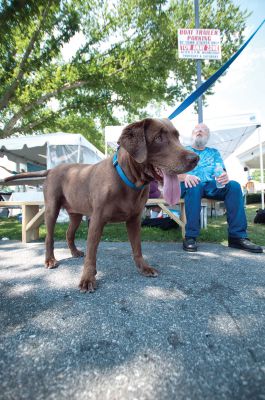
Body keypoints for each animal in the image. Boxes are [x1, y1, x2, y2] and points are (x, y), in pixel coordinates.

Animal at [5, 118, 197, 290]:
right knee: (49, 238)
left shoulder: (134, 220)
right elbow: (91, 253)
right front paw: (87, 278)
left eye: (177, 137)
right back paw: (50, 260)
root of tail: (51, 169)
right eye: (158, 138)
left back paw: (74, 252)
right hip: (52, 209)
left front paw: (144, 267)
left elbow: (137, 247)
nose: (195, 158)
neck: (128, 180)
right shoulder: (97, 220)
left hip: (76, 214)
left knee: (69, 234)